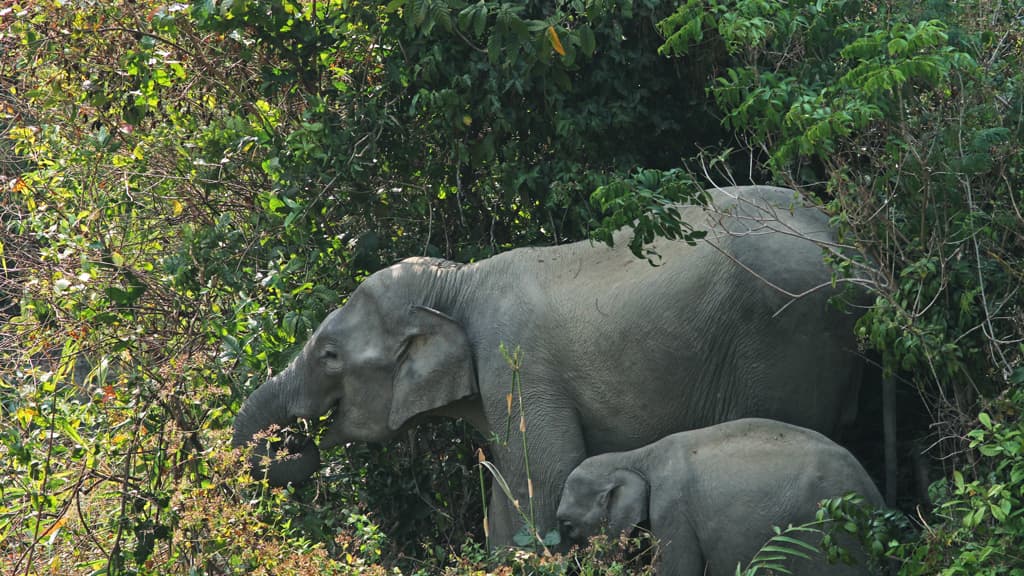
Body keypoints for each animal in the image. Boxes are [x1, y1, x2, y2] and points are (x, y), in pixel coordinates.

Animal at [230, 186, 864, 545]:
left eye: (330, 356)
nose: (302, 443)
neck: (457, 282)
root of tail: (848, 244)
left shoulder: (518, 360)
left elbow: (545, 477)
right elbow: (507, 497)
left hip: (786, 338)